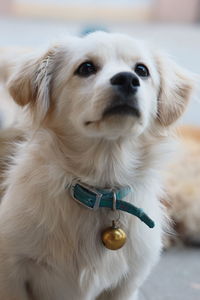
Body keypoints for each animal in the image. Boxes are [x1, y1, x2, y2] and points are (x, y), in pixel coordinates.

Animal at [0, 31, 195, 298]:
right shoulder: (11, 271)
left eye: (141, 70)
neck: (101, 188)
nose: (128, 79)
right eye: (86, 68)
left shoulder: (127, 284)